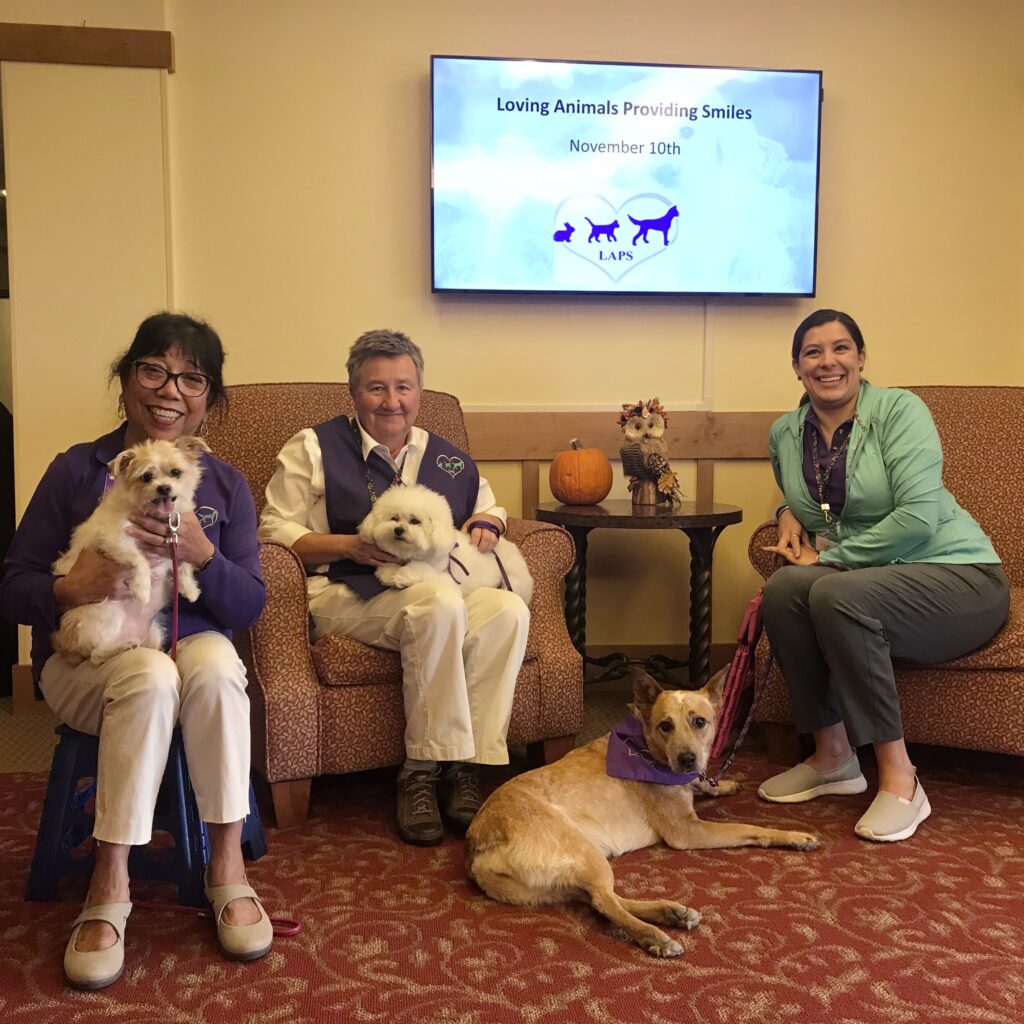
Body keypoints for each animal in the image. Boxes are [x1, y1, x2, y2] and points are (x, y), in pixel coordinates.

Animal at [50, 434, 208, 663]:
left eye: (176, 473)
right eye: (146, 477)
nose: (164, 488)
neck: (156, 517)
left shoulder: (181, 539)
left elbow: (185, 562)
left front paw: (190, 589)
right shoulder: (115, 539)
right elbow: (139, 559)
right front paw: (142, 588)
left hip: (155, 632)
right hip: (106, 611)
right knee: (96, 655)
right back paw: (121, 647)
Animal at [360, 481, 536, 602]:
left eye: (415, 521)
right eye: (394, 518)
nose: (398, 530)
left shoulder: (447, 581)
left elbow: (421, 569)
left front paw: (403, 576)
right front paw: (389, 572)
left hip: (514, 581)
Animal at [468, 667, 819, 954]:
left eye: (700, 722)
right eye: (666, 725)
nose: (687, 759)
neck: (648, 751)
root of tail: (479, 845)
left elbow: (703, 783)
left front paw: (721, 784)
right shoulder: (687, 831)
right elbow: (751, 828)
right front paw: (794, 836)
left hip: (559, 882)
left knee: (601, 899)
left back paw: (671, 913)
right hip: (583, 851)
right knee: (604, 902)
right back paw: (654, 936)